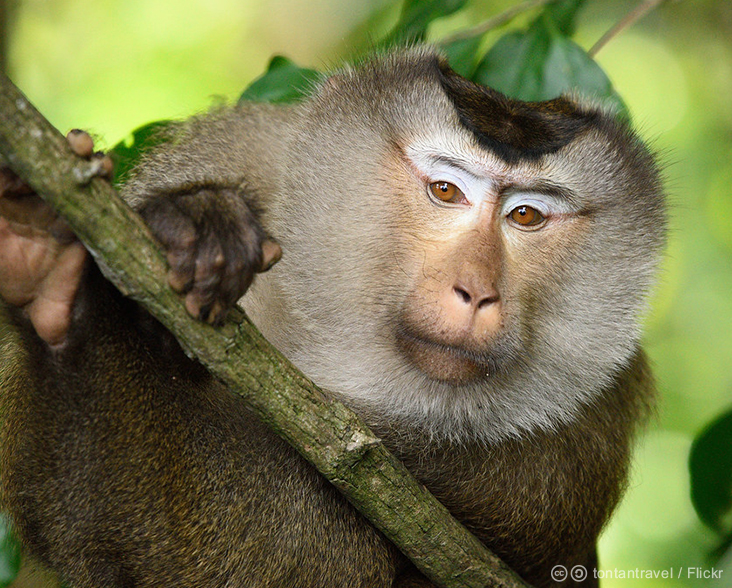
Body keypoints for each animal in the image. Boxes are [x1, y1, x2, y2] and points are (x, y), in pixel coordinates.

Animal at [0, 47, 664, 588]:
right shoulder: (237, 148)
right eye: (445, 190)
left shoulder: (603, 375)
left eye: (526, 216)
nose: (475, 291)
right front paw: (194, 222)